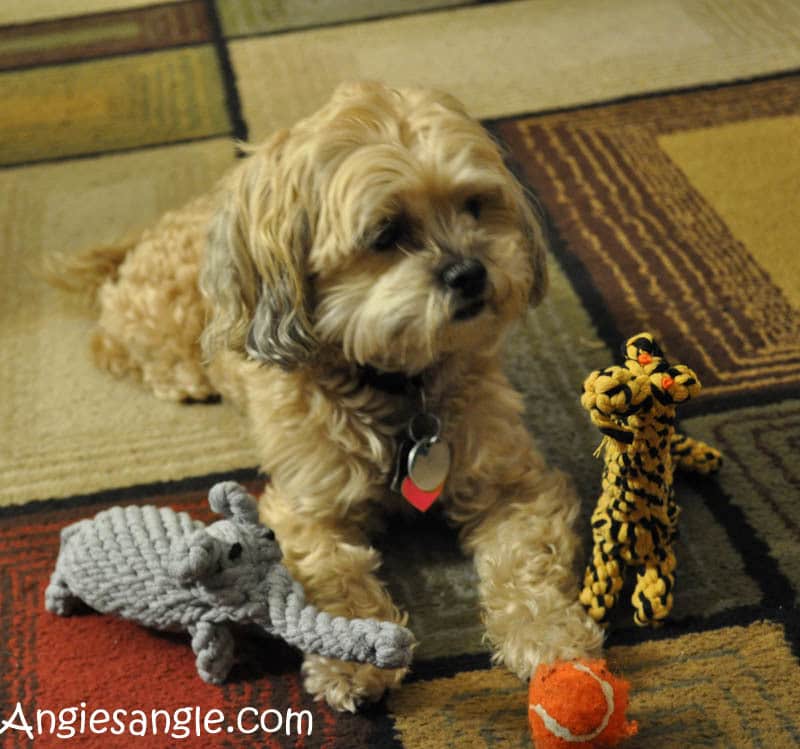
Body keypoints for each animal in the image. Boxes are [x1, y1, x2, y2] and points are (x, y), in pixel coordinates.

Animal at [53, 83, 604, 712]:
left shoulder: (515, 486)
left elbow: (525, 562)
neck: (397, 385)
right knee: (109, 342)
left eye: (474, 204)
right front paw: (351, 656)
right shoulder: (305, 507)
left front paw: (548, 632)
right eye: (386, 234)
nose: (470, 271)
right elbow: (331, 572)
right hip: (154, 321)